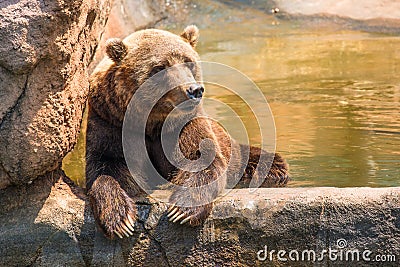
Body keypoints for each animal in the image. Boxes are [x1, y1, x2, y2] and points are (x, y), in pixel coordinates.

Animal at [86, 24, 290, 239]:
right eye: (160, 67)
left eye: (189, 62)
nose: (194, 90)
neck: (151, 121)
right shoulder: (111, 123)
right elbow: (107, 167)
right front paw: (120, 219)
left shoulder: (184, 125)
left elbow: (201, 158)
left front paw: (182, 209)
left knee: (263, 161)